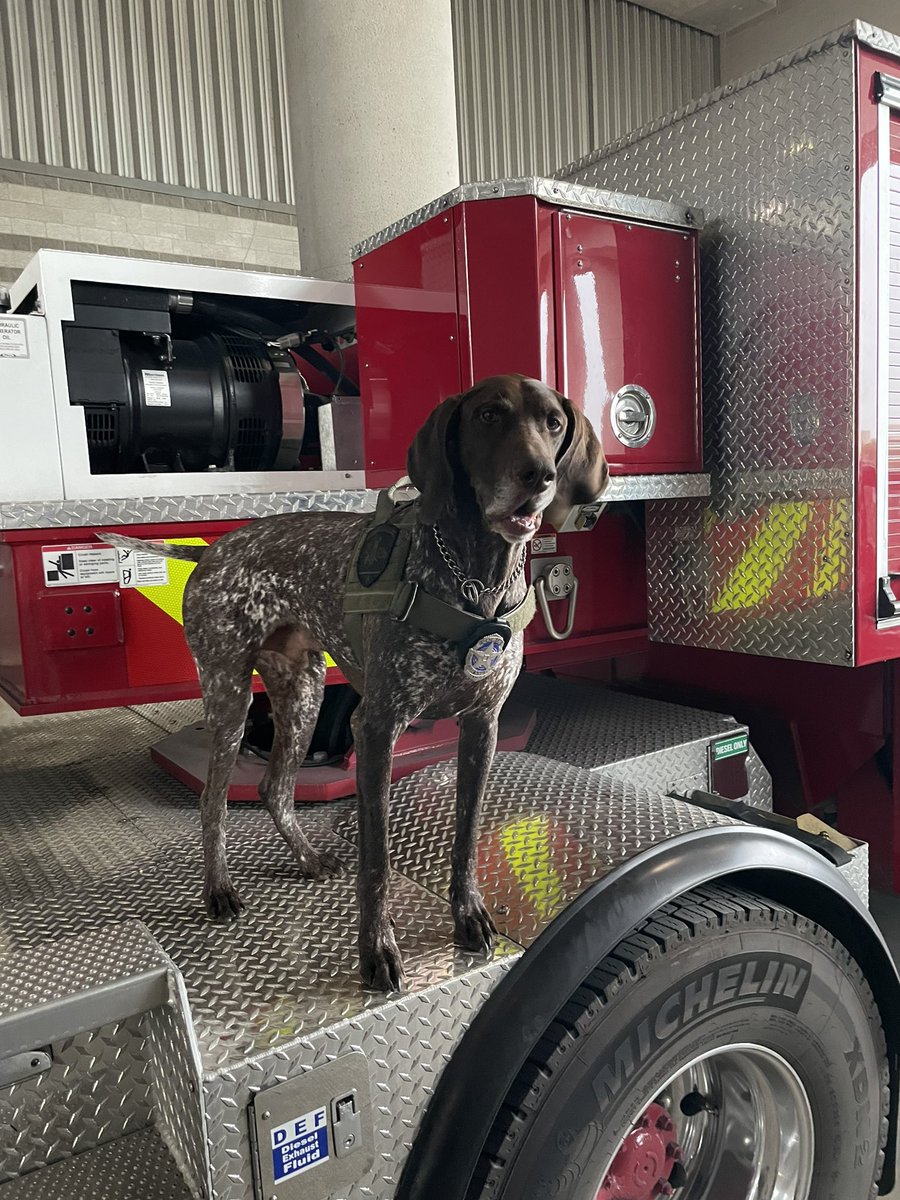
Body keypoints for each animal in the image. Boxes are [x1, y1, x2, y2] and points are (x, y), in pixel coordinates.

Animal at [109, 376, 609, 993]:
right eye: (489, 416)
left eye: (554, 423)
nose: (537, 475)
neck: (475, 580)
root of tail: (213, 549)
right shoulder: (375, 729)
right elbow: (377, 861)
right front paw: (376, 950)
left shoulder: (481, 727)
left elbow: (466, 837)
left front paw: (467, 914)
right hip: (229, 696)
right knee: (214, 800)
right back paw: (219, 889)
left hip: (302, 695)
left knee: (275, 788)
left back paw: (307, 859)